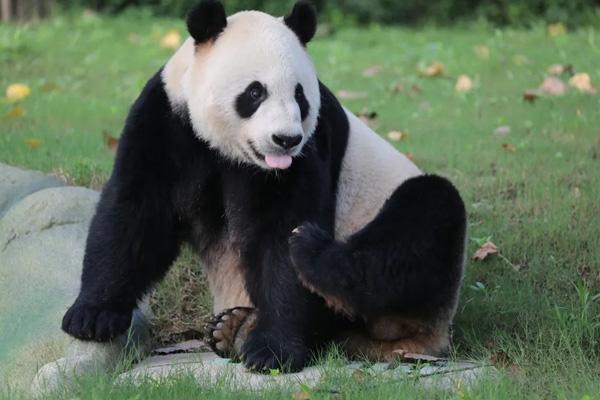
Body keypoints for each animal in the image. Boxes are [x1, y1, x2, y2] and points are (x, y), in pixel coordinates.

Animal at [63, 0, 468, 374]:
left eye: (300, 95)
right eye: (255, 92)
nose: (286, 140)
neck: (229, 150)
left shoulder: (311, 145)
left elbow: (281, 231)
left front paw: (272, 351)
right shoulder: (169, 119)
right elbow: (136, 210)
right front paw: (92, 316)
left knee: (423, 220)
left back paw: (309, 259)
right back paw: (233, 327)